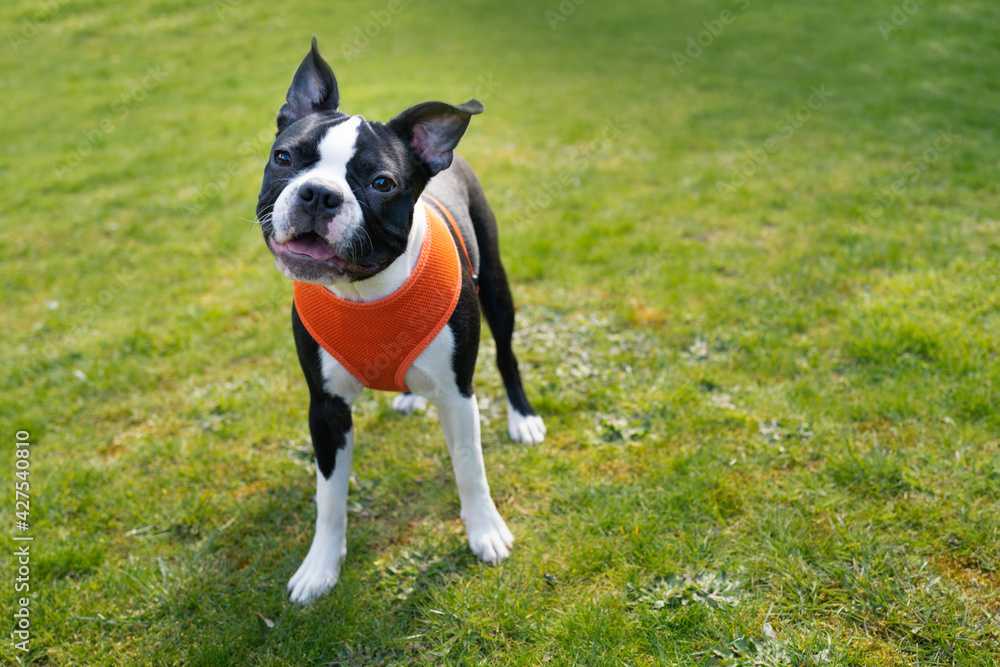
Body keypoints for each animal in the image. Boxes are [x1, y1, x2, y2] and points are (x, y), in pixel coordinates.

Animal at [254, 39, 544, 608]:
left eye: (381, 184)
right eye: (285, 158)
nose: (318, 193)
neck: (365, 292)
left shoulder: (458, 394)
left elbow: (471, 469)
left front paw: (485, 532)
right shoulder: (325, 409)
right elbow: (329, 497)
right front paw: (321, 567)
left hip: (497, 289)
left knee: (507, 354)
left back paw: (522, 418)